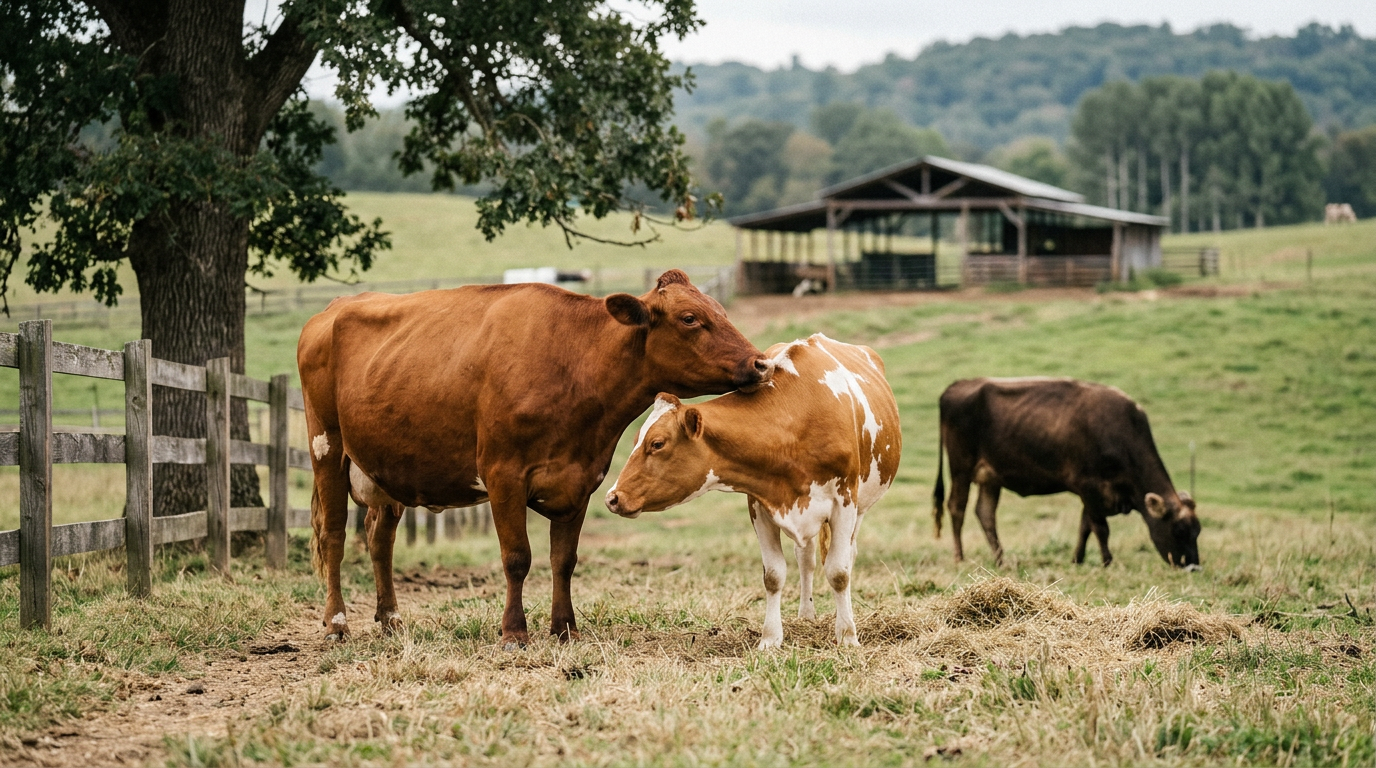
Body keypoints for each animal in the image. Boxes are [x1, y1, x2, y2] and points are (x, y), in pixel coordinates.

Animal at [297, 270, 773, 648]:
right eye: (690, 318)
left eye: (720, 309)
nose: (762, 363)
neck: (574, 364)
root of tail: (333, 309)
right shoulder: (503, 474)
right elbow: (517, 557)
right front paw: (514, 632)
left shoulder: (581, 481)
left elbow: (564, 561)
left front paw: (565, 629)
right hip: (327, 446)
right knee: (334, 535)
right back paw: (336, 623)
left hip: (385, 468)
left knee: (380, 538)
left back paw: (391, 619)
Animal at [605, 334, 901, 648]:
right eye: (636, 440)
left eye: (657, 443)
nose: (612, 497)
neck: (794, 421)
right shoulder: (761, 504)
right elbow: (773, 575)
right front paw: (770, 639)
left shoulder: (844, 502)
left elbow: (839, 572)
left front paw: (847, 636)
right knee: (806, 559)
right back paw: (806, 615)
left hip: (860, 507)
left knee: (846, 556)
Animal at [932, 377, 1200, 570]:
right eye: (1178, 530)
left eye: (1198, 531)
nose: (1194, 567)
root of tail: (958, 385)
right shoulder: (1088, 487)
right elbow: (1100, 528)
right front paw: (1107, 561)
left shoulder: (1092, 495)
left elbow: (1085, 526)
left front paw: (1077, 559)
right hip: (961, 468)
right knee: (957, 508)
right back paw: (960, 557)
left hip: (990, 477)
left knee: (985, 513)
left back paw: (1000, 560)